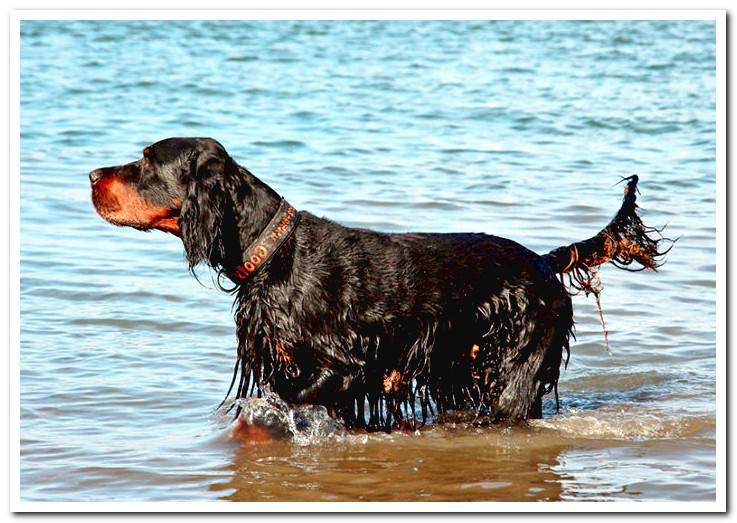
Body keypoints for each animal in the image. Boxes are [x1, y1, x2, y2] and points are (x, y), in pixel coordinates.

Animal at [89, 137, 668, 432]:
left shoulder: (343, 365)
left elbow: (282, 402)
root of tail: (545, 264)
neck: (273, 252)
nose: (92, 175)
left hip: (512, 373)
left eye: (146, 160)